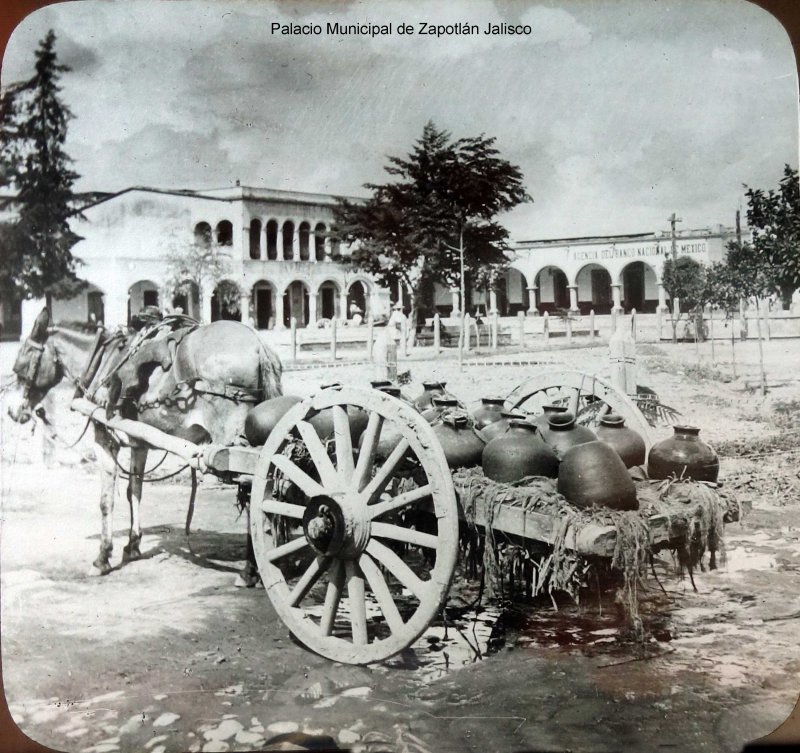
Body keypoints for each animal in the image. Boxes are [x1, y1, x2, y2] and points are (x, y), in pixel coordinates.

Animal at [7, 306, 284, 576]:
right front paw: (133, 545)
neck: (103, 361)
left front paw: (103, 556)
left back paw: (251, 568)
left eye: (21, 364)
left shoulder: (105, 438)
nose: (12, 411)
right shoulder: (139, 442)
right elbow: (135, 492)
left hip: (233, 443)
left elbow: (106, 500)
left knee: (250, 492)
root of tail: (259, 343)